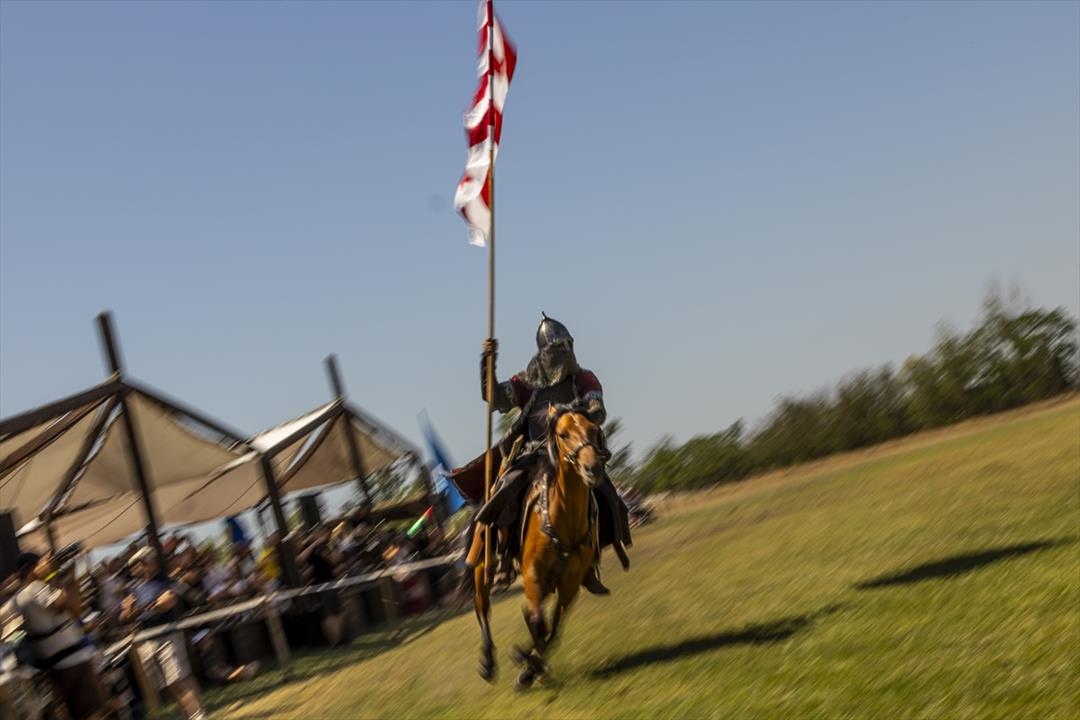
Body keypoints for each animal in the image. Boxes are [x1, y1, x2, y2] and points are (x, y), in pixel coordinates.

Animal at [469, 402, 608, 690]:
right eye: (564, 434)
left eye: (593, 430)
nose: (593, 469)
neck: (564, 517)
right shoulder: (533, 572)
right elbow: (538, 621)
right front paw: (526, 663)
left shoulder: (569, 584)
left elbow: (552, 628)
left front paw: (530, 666)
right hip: (481, 568)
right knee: (482, 607)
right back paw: (487, 663)